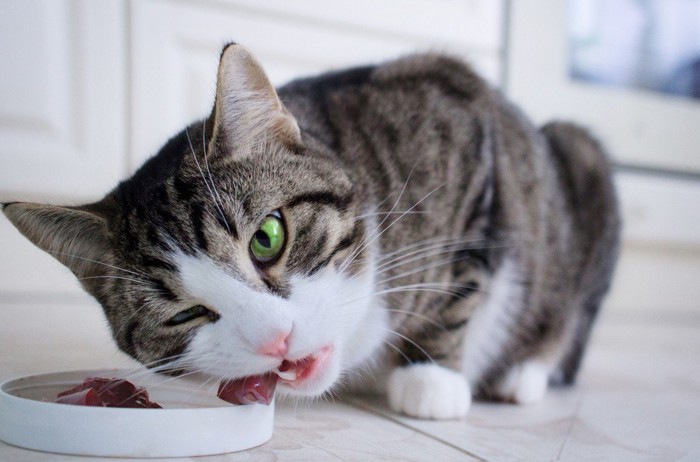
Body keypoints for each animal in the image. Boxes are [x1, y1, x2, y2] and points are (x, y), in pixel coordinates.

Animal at [4, 45, 616, 420]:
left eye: (266, 239)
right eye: (183, 315)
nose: (276, 340)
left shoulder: (464, 126)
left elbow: (458, 279)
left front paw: (431, 377)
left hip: (580, 159)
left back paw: (522, 372)